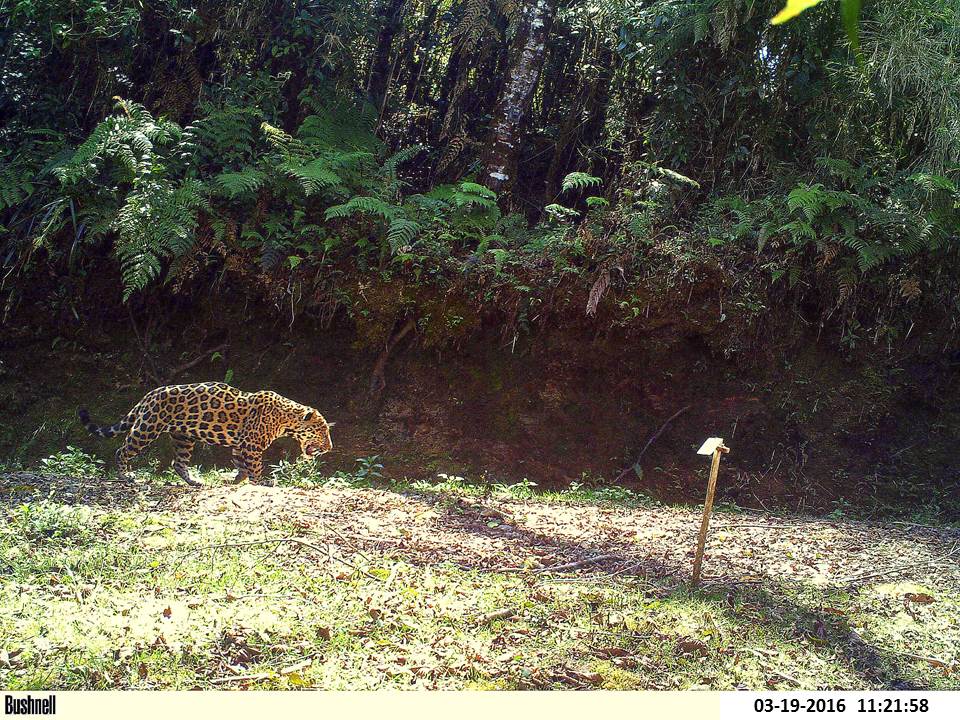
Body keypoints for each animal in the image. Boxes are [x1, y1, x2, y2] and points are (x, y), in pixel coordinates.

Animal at [78, 382, 333, 486]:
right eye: (322, 431)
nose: (330, 447)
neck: (285, 418)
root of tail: (149, 394)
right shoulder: (251, 444)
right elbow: (255, 466)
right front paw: (261, 482)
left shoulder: (240, 444)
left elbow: (241, 464)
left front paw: (235, 480)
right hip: (147, 428)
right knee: (122, 450)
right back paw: (126, 476)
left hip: (183, 438)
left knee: (178, 463)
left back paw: (194, 481)